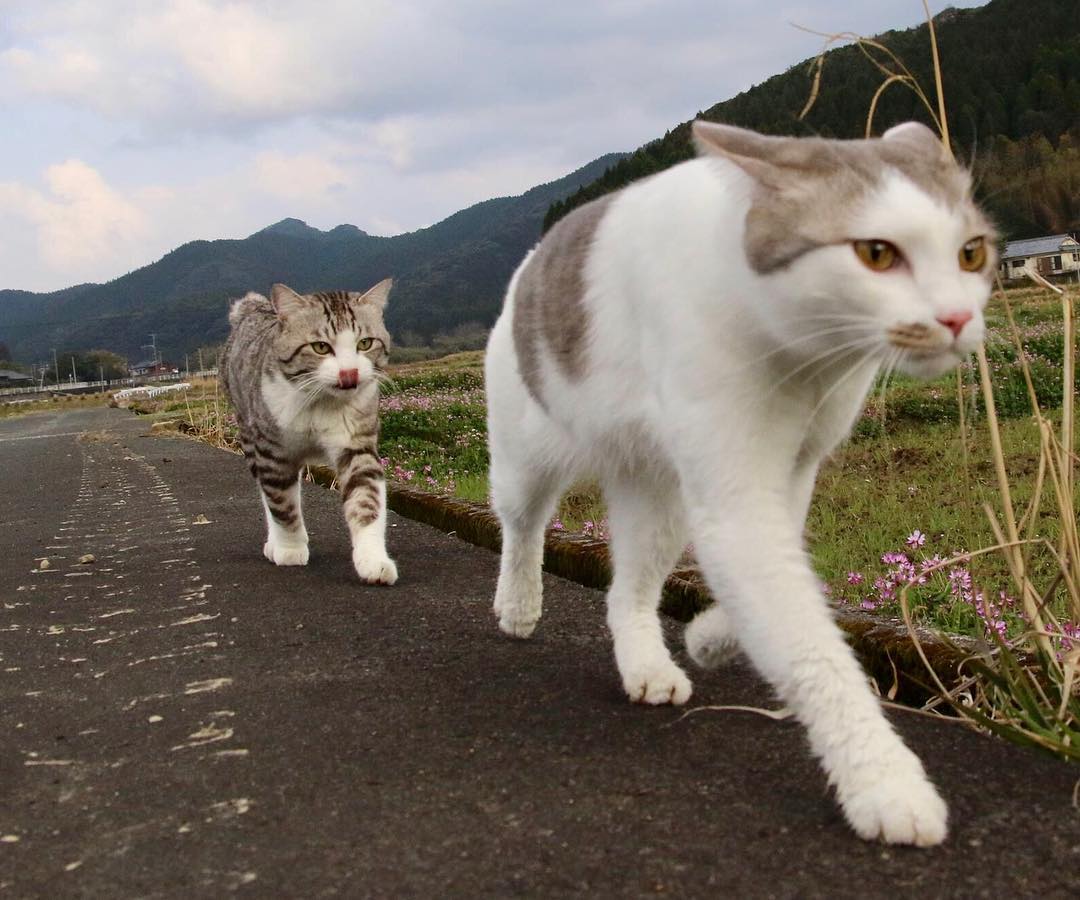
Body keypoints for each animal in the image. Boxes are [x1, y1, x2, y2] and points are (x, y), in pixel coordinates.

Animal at [221, 283, 399, 587]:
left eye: (365, 343)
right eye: (321, 347)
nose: (349, 373)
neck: (320, 404)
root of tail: (254, 308)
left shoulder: (356, 442)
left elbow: (366, 499)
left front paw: (373, 561)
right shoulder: (273, 453)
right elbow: (282, 505)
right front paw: (290, 549)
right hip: (248, 432)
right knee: (267, 494)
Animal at [488, 123, 993, 847]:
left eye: (971, 252)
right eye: (876, 253)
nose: (955, 318)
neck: (807, 358)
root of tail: (531, 259)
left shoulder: (795, 467)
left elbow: (783, 590)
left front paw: (710, 637)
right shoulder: (734, 499)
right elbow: (812, 646)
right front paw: (887, 784)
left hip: (656, 489)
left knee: (628, 591)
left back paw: (647, 664)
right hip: (528, 451)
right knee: (521, 522)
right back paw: (519, 605)